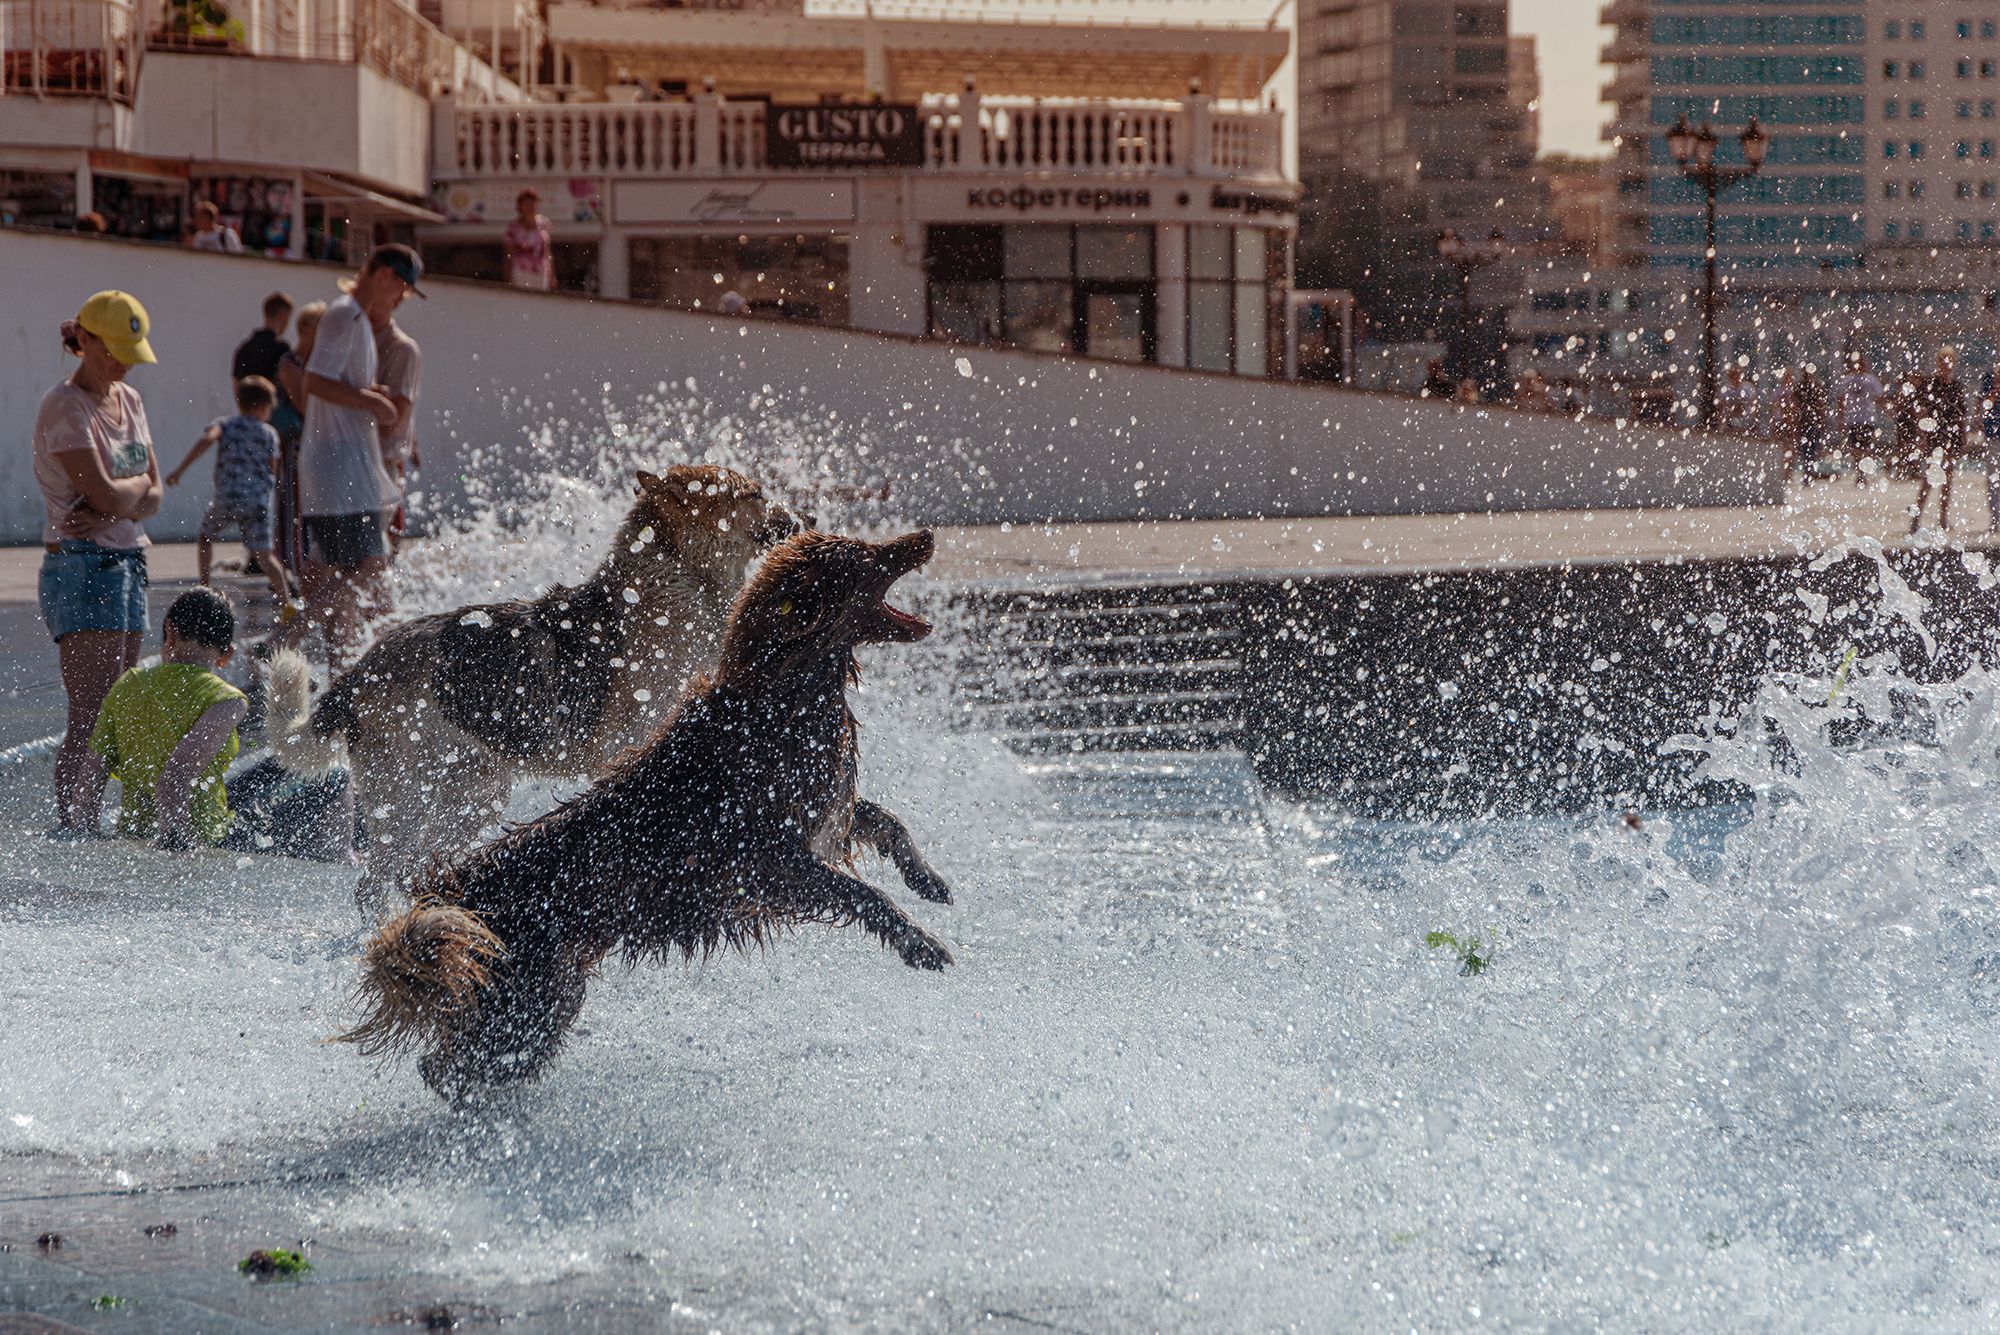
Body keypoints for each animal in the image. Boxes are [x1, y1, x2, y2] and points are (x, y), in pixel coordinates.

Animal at [270, 463, 800, 911]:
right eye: (755, 494)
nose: (806, 518)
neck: (674, 579)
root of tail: (356, 673)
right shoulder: (629, 748)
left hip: (472, 797)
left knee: (406, 871)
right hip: (405, 802)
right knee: (375, 883)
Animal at [340, 527, 956, 1103]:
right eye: (861, 556)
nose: (925, 535)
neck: (783, 695)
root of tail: (448, 894)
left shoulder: (824, 815)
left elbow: (888, 822)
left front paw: (929, 879)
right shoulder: (767, 860)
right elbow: (864, 895)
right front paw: (921, 944)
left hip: (538, 993)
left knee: (456, 1061)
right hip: (529, 995)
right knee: (452, 1066)